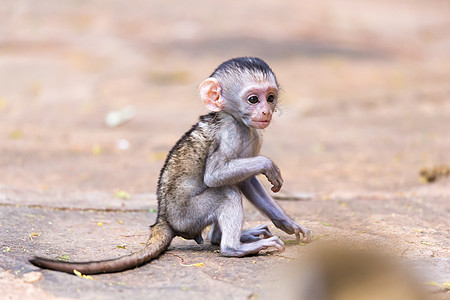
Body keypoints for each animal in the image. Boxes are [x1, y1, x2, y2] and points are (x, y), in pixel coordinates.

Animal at [28, 56, 310, 274]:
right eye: (253, 99)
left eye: (270, 98)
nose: (266, 112)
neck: (235, 121)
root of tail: (162, 218)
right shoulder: (231, 133)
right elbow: (216, 176)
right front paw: (267, 165)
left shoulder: (253, 135)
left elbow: (246, 181)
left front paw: (288, 223)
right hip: (188, 216)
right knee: (227, 193)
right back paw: (233, 247)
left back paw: (223, 238)